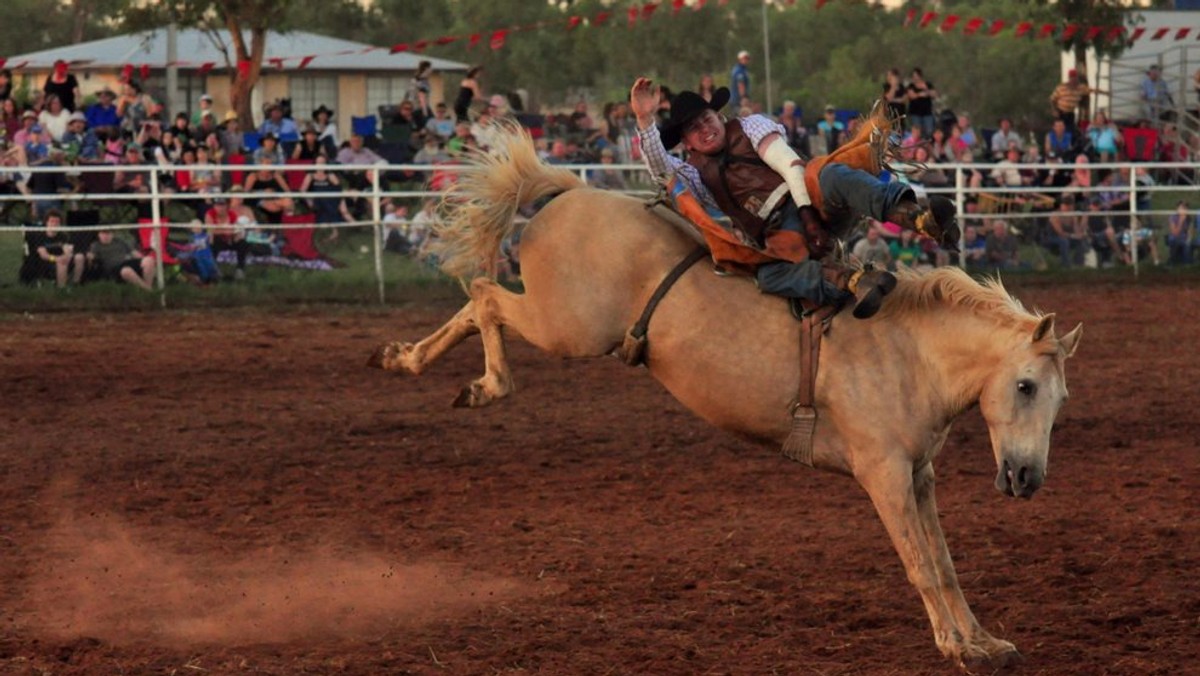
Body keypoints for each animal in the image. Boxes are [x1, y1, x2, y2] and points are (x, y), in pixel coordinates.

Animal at [364, 127, 1080, 672]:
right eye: (1024, 386)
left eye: (1061, 399)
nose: (1027, 477)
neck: (908, 351)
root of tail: (571, 194)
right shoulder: (883, 474)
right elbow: (921, 565)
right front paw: (958, 649)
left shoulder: (919, 475)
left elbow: (945, 561)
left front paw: (983, 640)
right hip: (565, 324)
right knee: (485, 294)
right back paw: (483, 385)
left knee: (474, 302)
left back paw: (402, 358)